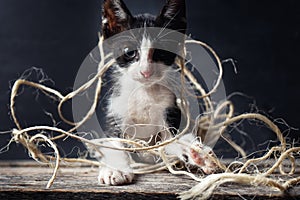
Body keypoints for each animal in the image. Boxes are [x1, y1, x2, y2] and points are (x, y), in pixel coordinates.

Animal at [98, 0, 218, 186]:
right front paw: (114, 169)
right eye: (129, 52)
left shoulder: (169, 110)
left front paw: (198, 154)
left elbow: (172, 142)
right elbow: (114, 143)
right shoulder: (116, 110)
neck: (144, 92)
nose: (145, 72)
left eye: (161, 51)